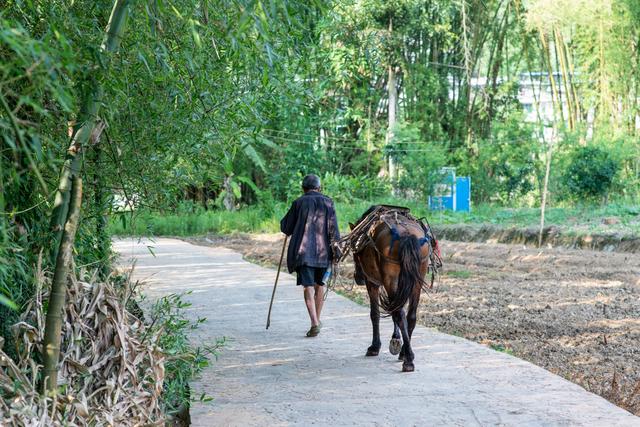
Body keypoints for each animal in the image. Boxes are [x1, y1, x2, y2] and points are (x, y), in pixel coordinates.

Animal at [348, 206, 432, 372]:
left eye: (354, 253)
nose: (358, 278)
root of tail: (407, 235)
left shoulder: (372, 283)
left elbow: (375, 314)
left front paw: (375, 347)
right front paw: (396, 340)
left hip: (390, 279)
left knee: (399, 313)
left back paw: (408, 360)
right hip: (416, 280)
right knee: (410, 316)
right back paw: (405, 353)